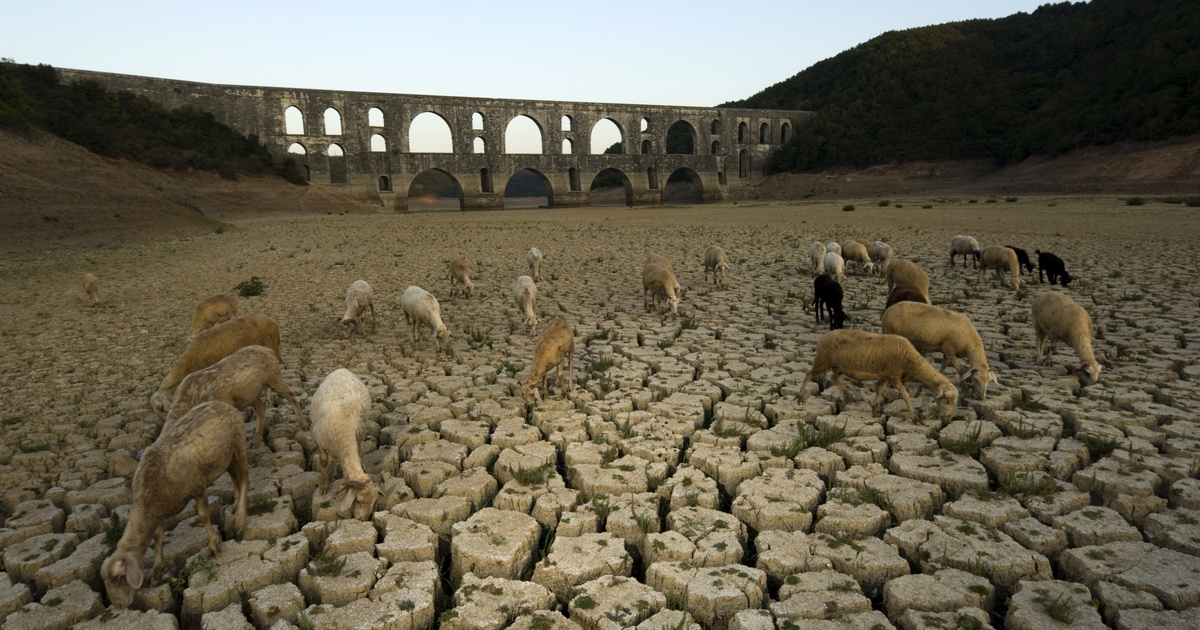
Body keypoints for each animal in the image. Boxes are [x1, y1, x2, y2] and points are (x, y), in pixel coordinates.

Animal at [100, 400, 248, 607]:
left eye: (121, 577)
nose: (120, 606)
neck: (148, 500)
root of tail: (223, 404)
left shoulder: (198, 487)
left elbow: (203, 516)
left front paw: (214, 546)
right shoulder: (158, 512)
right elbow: (158, 538)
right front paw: (156, 572)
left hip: (238, 446)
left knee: (243, 481)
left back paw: (241, 520)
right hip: (225, 458)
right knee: (235, 480)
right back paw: (235, 506)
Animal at [165, 343, 304, 441]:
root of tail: (266, 349)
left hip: (273, 376)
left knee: (290, 395)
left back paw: (303, 425)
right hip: (251, 393)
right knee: (261, 408)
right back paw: (256, 441)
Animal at [309, 364, 379, 518]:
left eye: (374, 502)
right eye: (358, 501)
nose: (363, 520)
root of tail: (341, 369)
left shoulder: (356, 436)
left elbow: (358, 453)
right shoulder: (318, 440)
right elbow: (323, 462)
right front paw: (323, 486)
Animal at [801, 326, 960, 420]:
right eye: (947, 400)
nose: (950, 417)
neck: (913, 363)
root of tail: (823, 337)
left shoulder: (886, 375)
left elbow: (880, 390)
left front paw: (874, 406)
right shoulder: (895, 376)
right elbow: (906, 395)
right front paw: (914, 417)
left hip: (839, 366)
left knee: (834, 378)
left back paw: (848, 396)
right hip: (823, 360)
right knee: (809, 374)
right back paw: (800, 397)